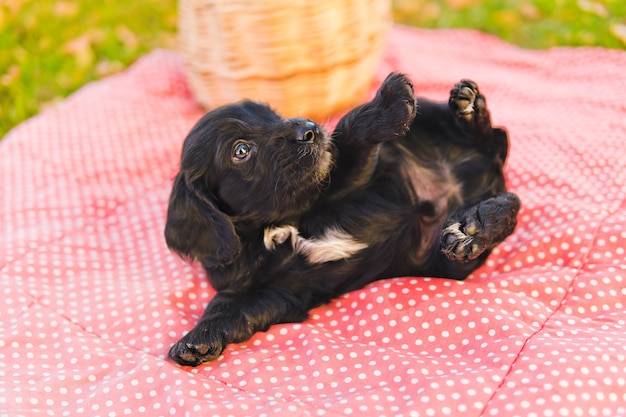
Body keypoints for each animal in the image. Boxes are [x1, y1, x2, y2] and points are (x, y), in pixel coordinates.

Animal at [163, 74, 520, 364]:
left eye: (273, 115)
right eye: (240, 150)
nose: (309, 129)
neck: (284, 223)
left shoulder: (345, 174)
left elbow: (350, 132)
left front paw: (387, 105)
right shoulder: (279, 292)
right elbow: (230, 306)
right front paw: (198, 338)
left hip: (431, 115)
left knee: (492, 136)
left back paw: (470, 112)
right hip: (443, 262)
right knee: (507, 208)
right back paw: (475, 228)